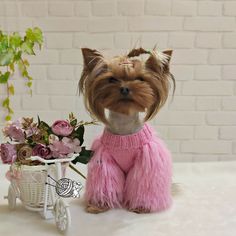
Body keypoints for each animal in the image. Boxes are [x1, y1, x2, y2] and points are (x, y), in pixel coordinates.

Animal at [79, 47, 175, 214]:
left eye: (140, 79)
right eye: (111, 79)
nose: (124, 88)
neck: (124, 126)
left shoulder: (145, 160)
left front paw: (142, 206)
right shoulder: (104, 160)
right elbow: (105, 181)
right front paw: (98, 205)